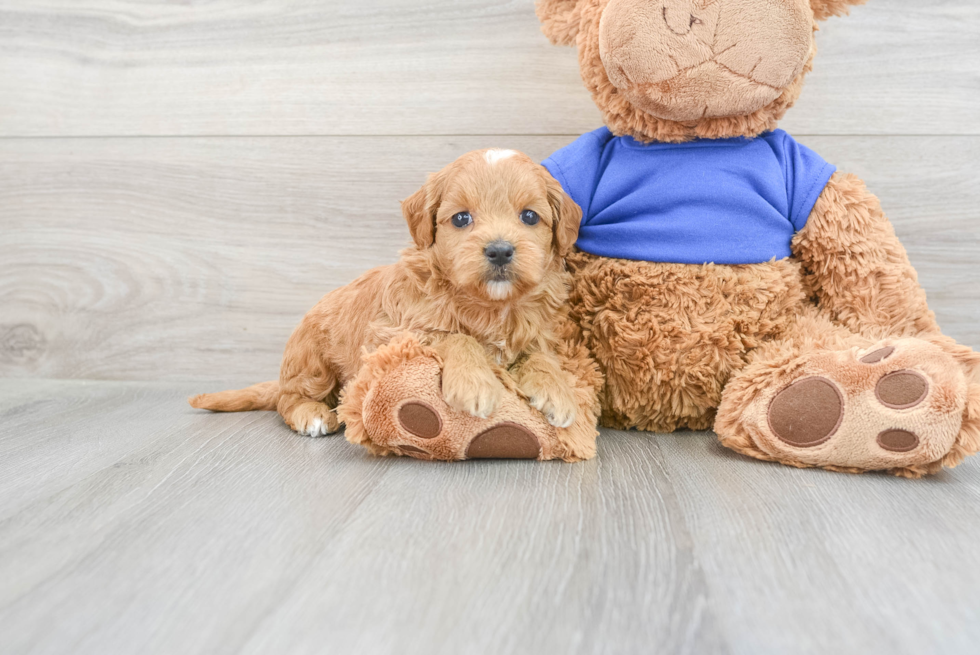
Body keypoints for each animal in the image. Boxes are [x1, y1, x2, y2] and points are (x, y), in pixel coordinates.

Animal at [195, 149, 584, 440]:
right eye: (461, 219)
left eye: (530, 216)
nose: (500, 251)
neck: (491, 305)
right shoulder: (397, 335)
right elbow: (456, 337)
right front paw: (474, 383)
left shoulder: (537, 333)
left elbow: (540, 356)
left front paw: (558, 392)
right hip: (312, 361)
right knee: (288, 400)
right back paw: (313, 414)